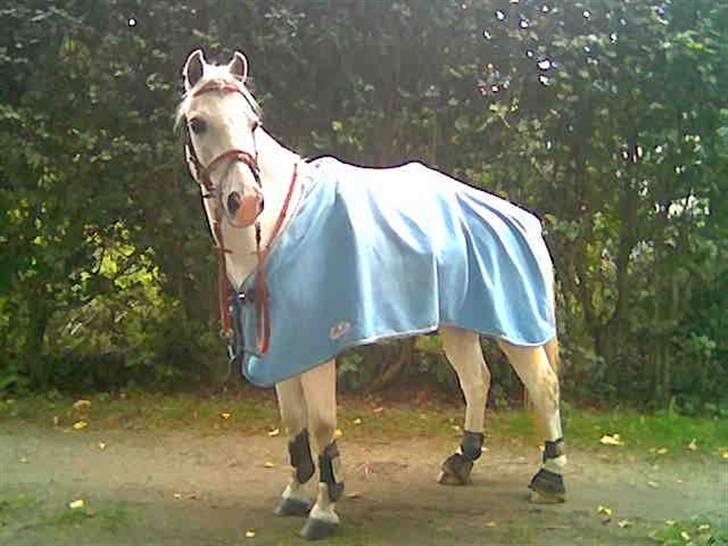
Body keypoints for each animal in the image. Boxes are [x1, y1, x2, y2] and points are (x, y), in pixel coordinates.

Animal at [176, 49, 567, 540]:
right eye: (198, 123)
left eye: (252, 122)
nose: (245, 201)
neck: (279, 226)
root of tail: (526, 221)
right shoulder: (281, 347)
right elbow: (294, 425)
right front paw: (297, 493)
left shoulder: (315, 347)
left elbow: (322, 425)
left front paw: (324, 510)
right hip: (458, 324)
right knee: (477, 380)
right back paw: (462, 462)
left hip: (516, 327)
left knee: (544, 386)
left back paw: (550, 477)